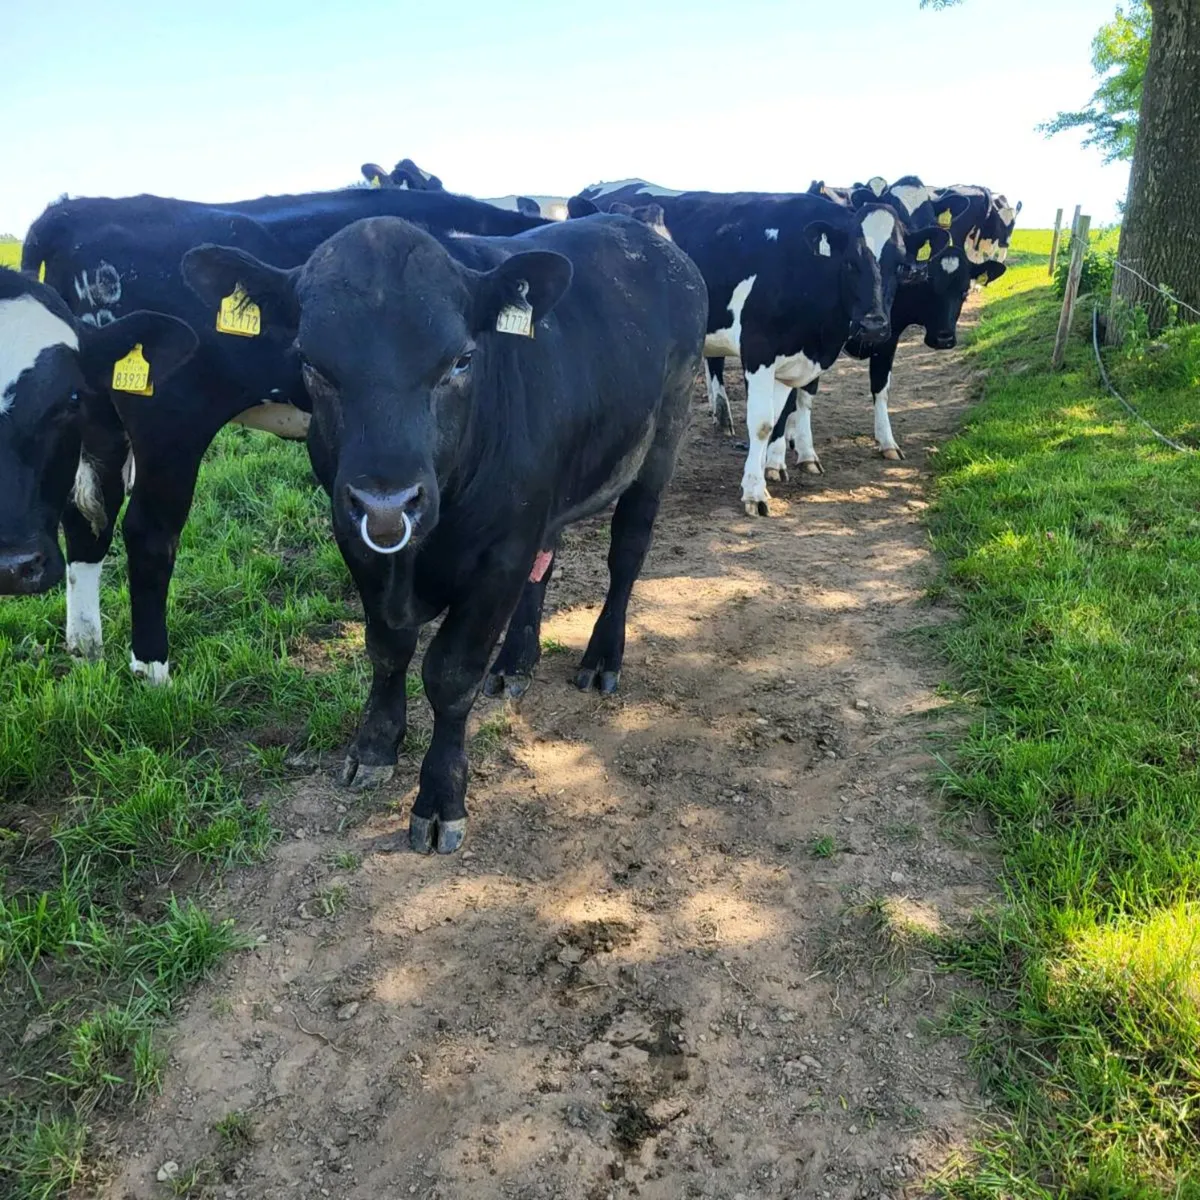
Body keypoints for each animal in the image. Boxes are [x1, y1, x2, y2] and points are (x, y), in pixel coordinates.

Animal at [181, 212, 707, 853]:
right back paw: (516, 664)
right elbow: (387, 648)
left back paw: (603, 657)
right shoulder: (356, 540)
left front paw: (439, 798)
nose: (387, 502)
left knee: (627, 554)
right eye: (310, 361)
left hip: (662, 441)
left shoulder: (500, 555)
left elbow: (451, 674)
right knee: (548, 560)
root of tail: (644, 230)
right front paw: (375, 746)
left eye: (460, 360)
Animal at [570, 181, 947, 515]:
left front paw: (773, 468)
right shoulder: (759, 349)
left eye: (900, 264)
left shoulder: (794, 357)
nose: (873, 325)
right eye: (850, 261)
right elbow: (764, 422)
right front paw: (755, 492)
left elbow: (782, 414)